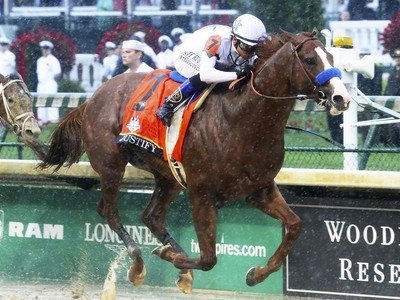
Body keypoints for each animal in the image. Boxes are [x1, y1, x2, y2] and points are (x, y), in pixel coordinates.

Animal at [37, 30, 350, 292]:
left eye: (333, 58)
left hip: (169, 176)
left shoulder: (259, 189)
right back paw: (138, 263)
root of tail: (92, 97)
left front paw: (256, 274)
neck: (242, 119)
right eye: (310, 59)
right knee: (109, 211)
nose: (341, 98)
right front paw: (171, 257)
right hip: (111, 165)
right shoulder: (202, 193)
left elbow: (295, 225)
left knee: (151, 216)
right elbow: (209, 258)